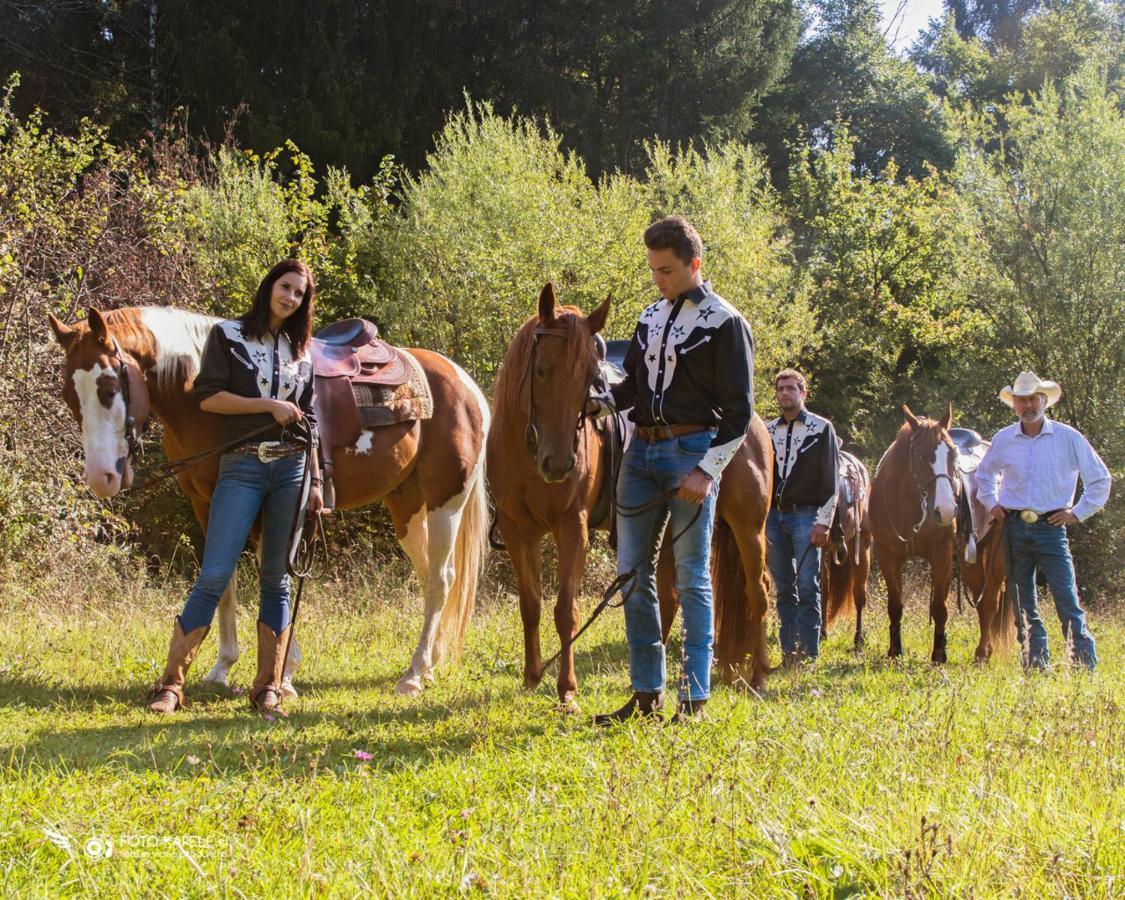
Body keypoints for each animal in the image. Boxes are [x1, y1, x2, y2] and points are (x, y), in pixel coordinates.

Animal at [48, 306, 488, 693]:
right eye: (69, 396)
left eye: (107, 390)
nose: (101, 478)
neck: (208, 404)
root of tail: (466, 384)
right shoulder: (208, 501)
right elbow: (223, 577)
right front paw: (222, 668)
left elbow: (271, 575)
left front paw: (283, 673)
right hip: (406, 506)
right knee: (433, 575)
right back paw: (429, 665)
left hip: (445, 501)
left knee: (440, 579)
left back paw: (413, 675)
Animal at [488, 283, 778, 711]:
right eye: (541, 371)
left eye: (589, 380)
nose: (559, 464)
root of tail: (748, 422)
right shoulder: (516, 530)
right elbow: (531, 605)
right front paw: (531, 677)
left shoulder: (572, 528)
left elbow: (565, 610)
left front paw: (567, 691)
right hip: (673, 523)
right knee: (670, 597)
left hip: (748, 525)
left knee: (756, 592)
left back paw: (757, 675)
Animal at [868, 405, 958, 666]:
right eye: (919, 456)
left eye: (952, 454)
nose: (945, 510)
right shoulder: (888, 557)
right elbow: (895, 605)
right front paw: (895, 650)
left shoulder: (942, 556)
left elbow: (939, 607)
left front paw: (939, 654)